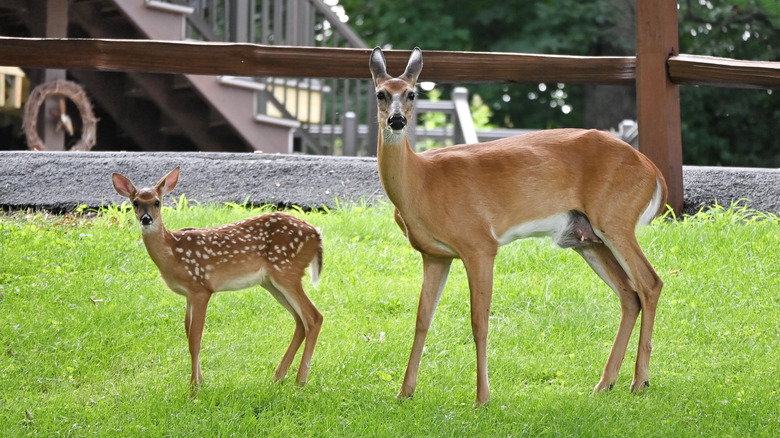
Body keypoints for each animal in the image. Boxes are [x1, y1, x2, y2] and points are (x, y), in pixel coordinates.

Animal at [112, 167, 323, 388]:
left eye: (157, 202)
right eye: (135, 202)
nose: (146, 219)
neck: (173, 253)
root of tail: (317, 235)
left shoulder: (201, 289)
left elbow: (195, 340)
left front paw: (194, 387)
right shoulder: (188, 295)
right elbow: (188, 332)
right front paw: (200, 380)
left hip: (286, 271)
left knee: (314, 316)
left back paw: (300, 381)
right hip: (271, 282)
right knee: (300, 320)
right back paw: (278, 376)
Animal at [369, 47, 668, 406]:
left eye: (412, 93)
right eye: (380, 93)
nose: (396, 120)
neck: (421, 182)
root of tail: (653, 171)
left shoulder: (479, 244)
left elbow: (479, 322)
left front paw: (482, 398)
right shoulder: (435, 254)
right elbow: (422, 319)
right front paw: (404, 392)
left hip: (616, 219)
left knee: (650, 283)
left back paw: (640, 381)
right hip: (586, 238)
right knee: (629, 294)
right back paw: (605, 383)